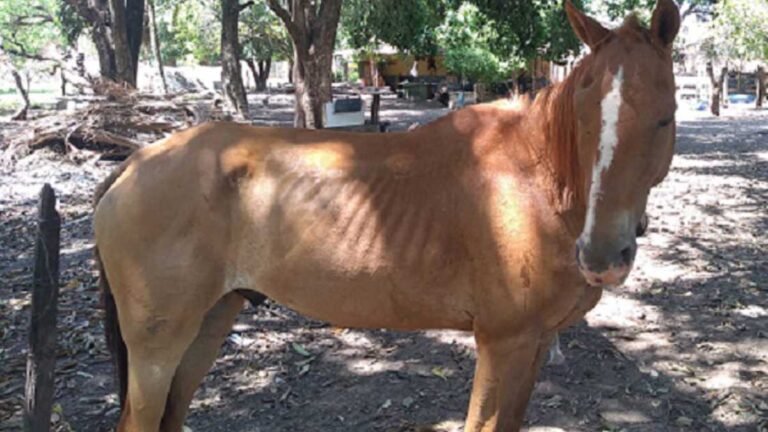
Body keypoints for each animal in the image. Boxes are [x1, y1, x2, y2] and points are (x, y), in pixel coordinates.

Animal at [93, 1, 680, 430]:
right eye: (582, 116)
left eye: (664, 118)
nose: (601, 255)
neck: (533, 183)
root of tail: (134, 164)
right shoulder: (504, 344)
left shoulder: (532, 346)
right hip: (158, 348)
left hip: (210, 323)